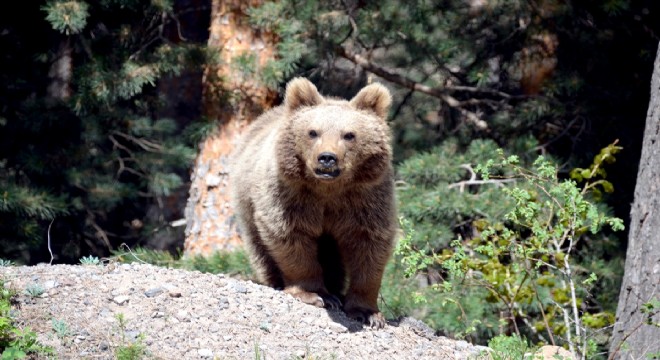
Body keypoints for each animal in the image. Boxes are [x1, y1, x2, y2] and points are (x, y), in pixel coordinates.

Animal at [231, 77, 398, 328]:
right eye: (313, 132)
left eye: (349, 134)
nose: (327, 158)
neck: (328, 190)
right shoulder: (291, 196)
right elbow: (291, 237)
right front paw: (316, 295)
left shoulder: (365, 199)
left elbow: (369, 246)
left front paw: (367, 312)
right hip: (247, 205)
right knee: (261, 250)